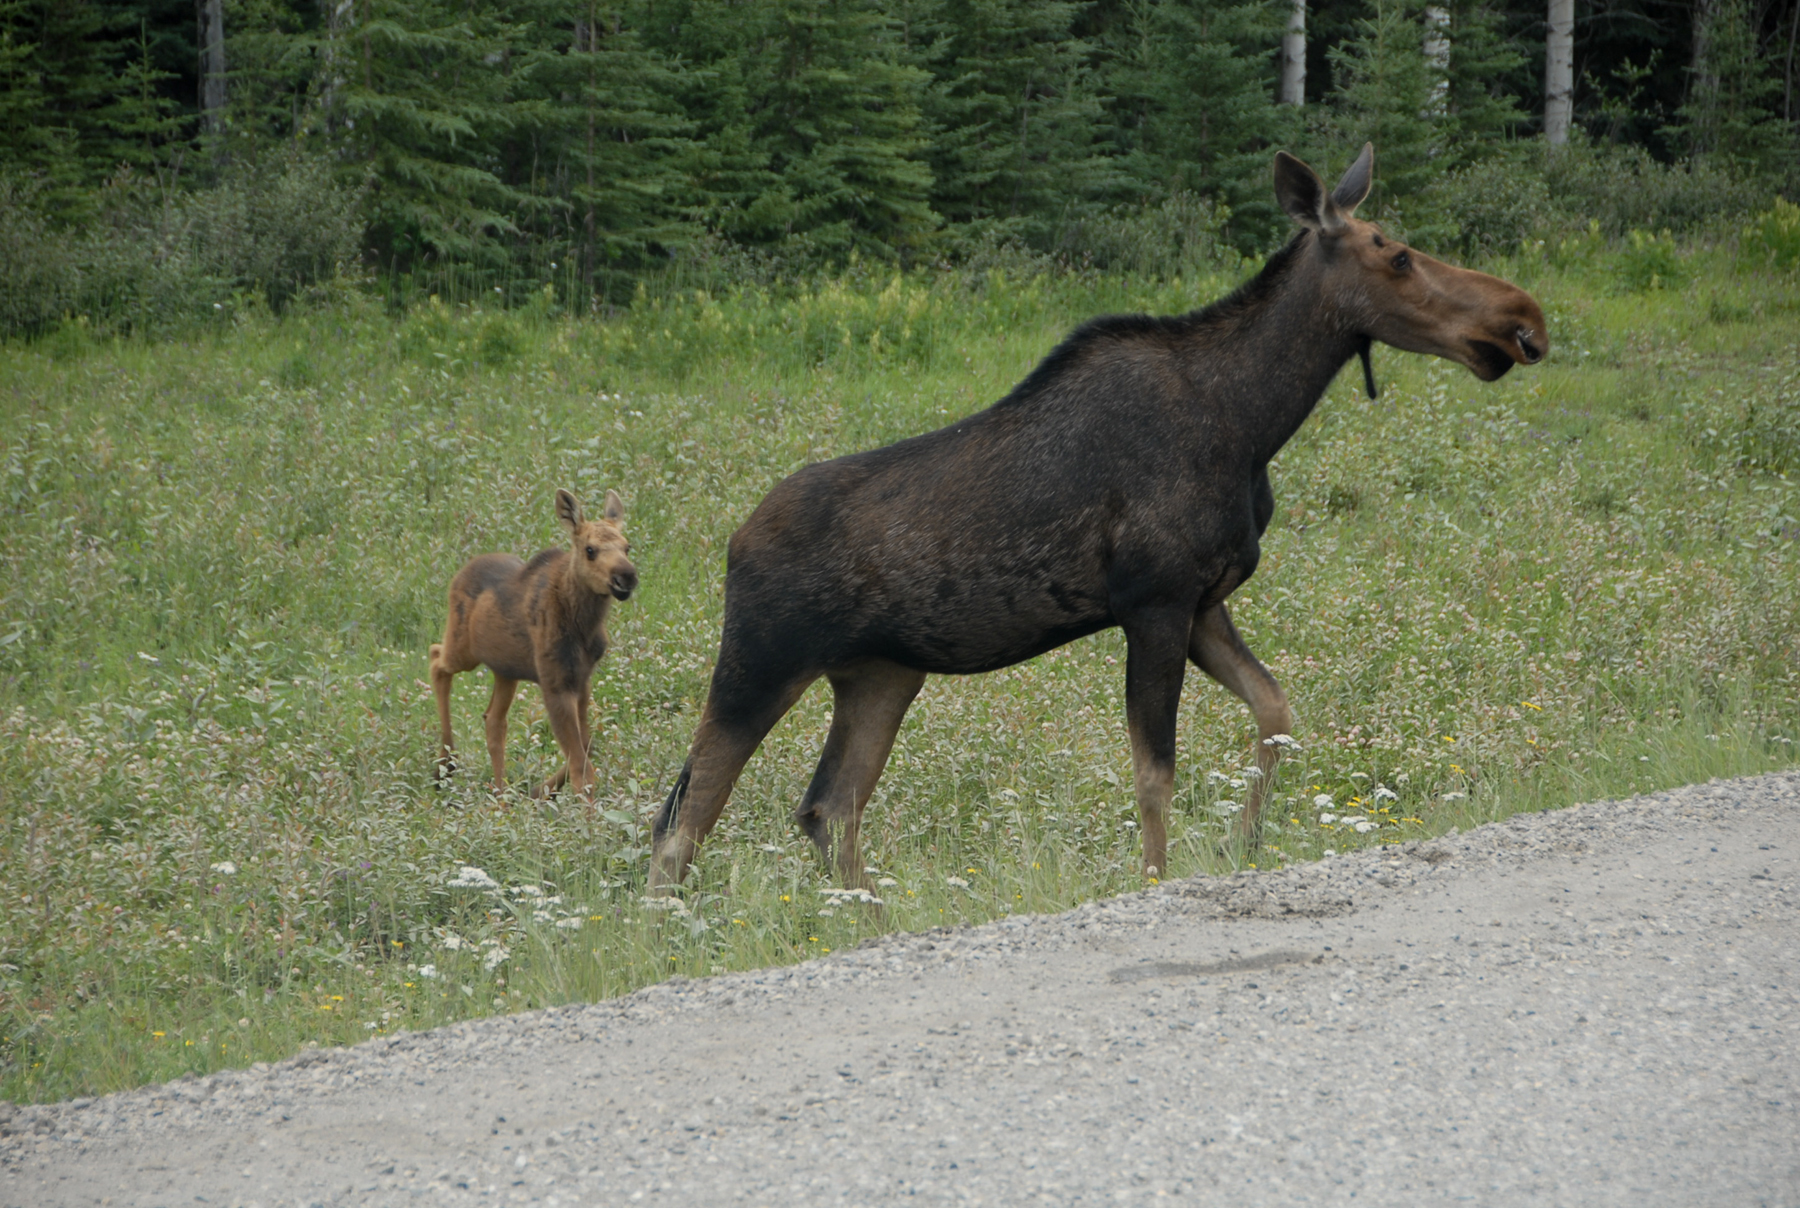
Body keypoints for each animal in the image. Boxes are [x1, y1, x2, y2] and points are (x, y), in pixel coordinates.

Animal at [430, 486, 640, 799]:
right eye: (590, 550)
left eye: (627, 547)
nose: (626, 576)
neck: (584, 625)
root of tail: (459, 574)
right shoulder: (554, 682)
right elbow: (582, 768)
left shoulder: (582, 680)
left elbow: (586, 748)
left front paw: (541, 789)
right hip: (463, 650)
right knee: (436, 658)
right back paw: (446, 764)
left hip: (505, 670)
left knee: (493, 720)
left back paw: (501, 795)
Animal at [648, 146, 1548, 892]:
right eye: (1395, 253)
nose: (1523, 318)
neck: (1251, 423)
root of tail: (733, 541)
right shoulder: (1153, 602)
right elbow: (1156, 772)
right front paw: (1154, 879)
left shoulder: (1204, 602)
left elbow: (1276, 712)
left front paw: (1244, 843)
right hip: (759, 661)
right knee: (682, 820)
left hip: (879, 673)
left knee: (826, 808)